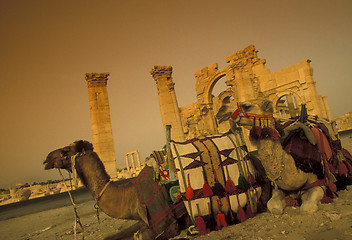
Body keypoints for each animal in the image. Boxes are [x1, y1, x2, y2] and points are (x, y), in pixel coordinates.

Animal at [44, 141, 184, 240]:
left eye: (66, 150)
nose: (47, 158)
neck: (132, 195)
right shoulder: (144, 221)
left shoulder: (164, 218)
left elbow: (139, 236)